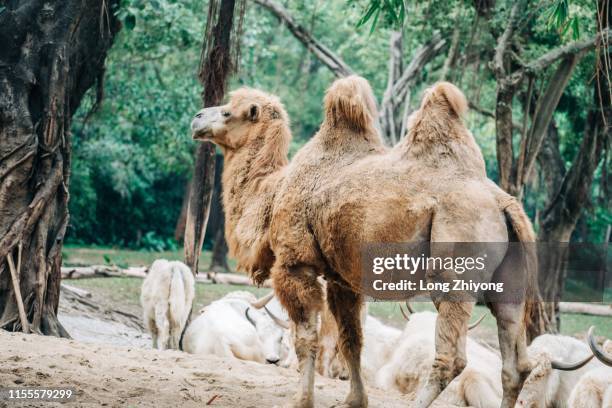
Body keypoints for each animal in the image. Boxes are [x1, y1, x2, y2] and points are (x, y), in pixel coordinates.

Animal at [190, 77, 536, 408]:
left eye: (227, 112)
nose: (197, 118)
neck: (272, 193)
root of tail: (503, 204)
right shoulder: (341, 280)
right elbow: (351, 340)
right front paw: (354, 400)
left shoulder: (296, 264)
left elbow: (305, 338)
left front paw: (301, 400)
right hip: (509, 281)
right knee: (516, 364)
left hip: (455, 267)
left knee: (451, 358)